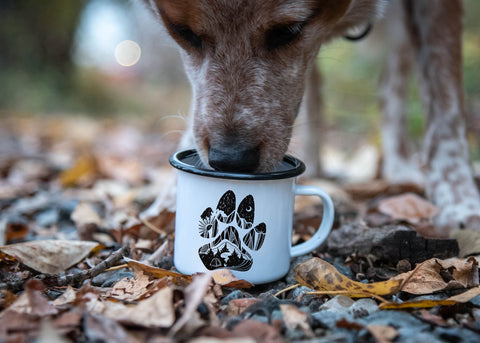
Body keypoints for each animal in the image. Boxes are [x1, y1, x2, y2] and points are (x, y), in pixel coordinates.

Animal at [142, 0, 480, 231]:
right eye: (182, 31)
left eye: (288, 31)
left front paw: (461, 203)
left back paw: (400, 165)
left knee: (393, 86)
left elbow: (445, 101)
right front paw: (168, 204)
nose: (230, 161)